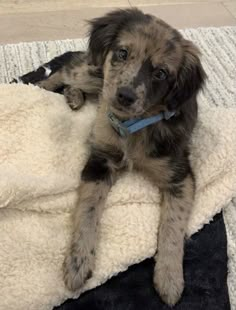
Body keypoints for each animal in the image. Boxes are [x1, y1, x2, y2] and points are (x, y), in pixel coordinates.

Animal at [12, 8, 206, 304]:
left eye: (161, 73)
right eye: (123, 53)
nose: (124, 96)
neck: (132, 127)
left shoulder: (179, 175)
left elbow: (173, 226)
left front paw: (170, 278)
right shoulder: (99, 160)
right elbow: (88, 210)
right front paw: (78, 263)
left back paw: (74, 97)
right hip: (95, 73)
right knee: (65, 73)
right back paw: (43, 87)